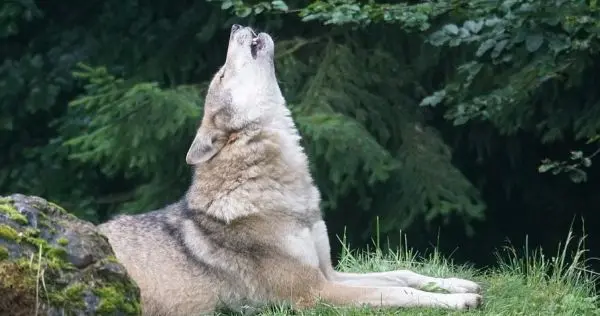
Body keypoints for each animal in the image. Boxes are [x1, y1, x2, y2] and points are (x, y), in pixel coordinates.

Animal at [97, 23, 482, 314]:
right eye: (221, 75)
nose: (236, 24)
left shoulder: (329, 273)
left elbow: (401, 274)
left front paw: (459, 284)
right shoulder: (315, 292)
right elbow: (398, 292)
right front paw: (460, 301)